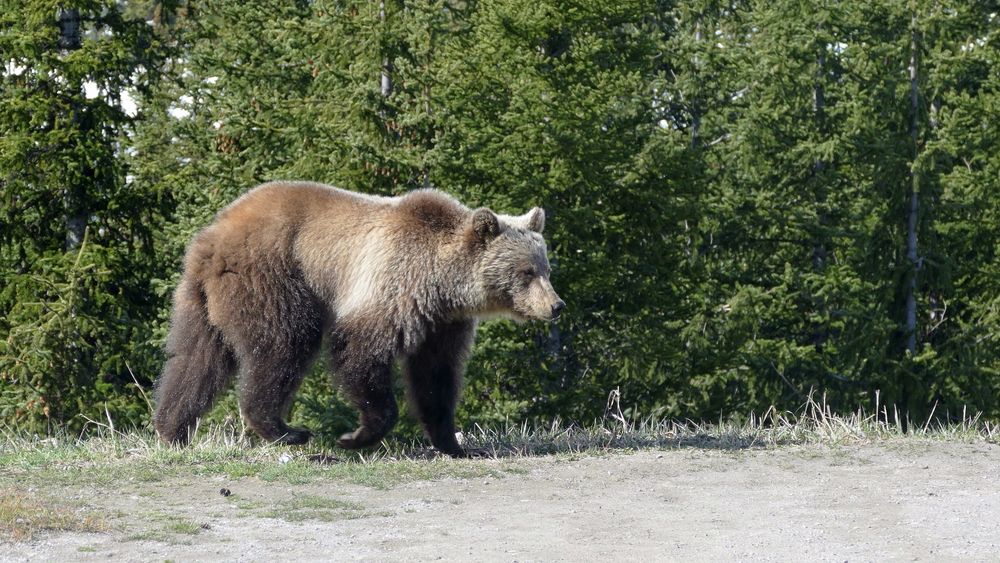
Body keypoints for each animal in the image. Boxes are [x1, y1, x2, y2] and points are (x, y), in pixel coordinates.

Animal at [154, 182, 564, 458]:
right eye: (527, 272)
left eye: (546, 268)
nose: (556, 305)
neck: (442, 283)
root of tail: (212, 236)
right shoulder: (393, 284)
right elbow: (359, 351)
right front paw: (356, 436)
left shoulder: (442, 323)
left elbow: (436, 377)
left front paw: (456, 444)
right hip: (273, 276)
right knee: (285, 343)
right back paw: (284, 429)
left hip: (201, 299)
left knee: (195, 360)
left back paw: (172, 429)